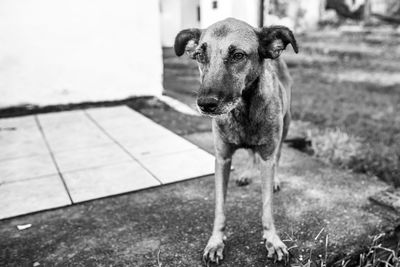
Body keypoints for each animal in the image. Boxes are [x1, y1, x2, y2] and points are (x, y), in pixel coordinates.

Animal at [174, 17, 296, 264]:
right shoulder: (222, 159)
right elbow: (220, 209)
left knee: (278, 156)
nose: (205, 104)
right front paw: (215, 242)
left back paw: (276, 179)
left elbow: (267, 207)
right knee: (250, 152)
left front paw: (273, 240)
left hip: (285, 126)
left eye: (238, 55)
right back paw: (247, 173)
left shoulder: (267, 156)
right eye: (200, 55)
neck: (243, 110)